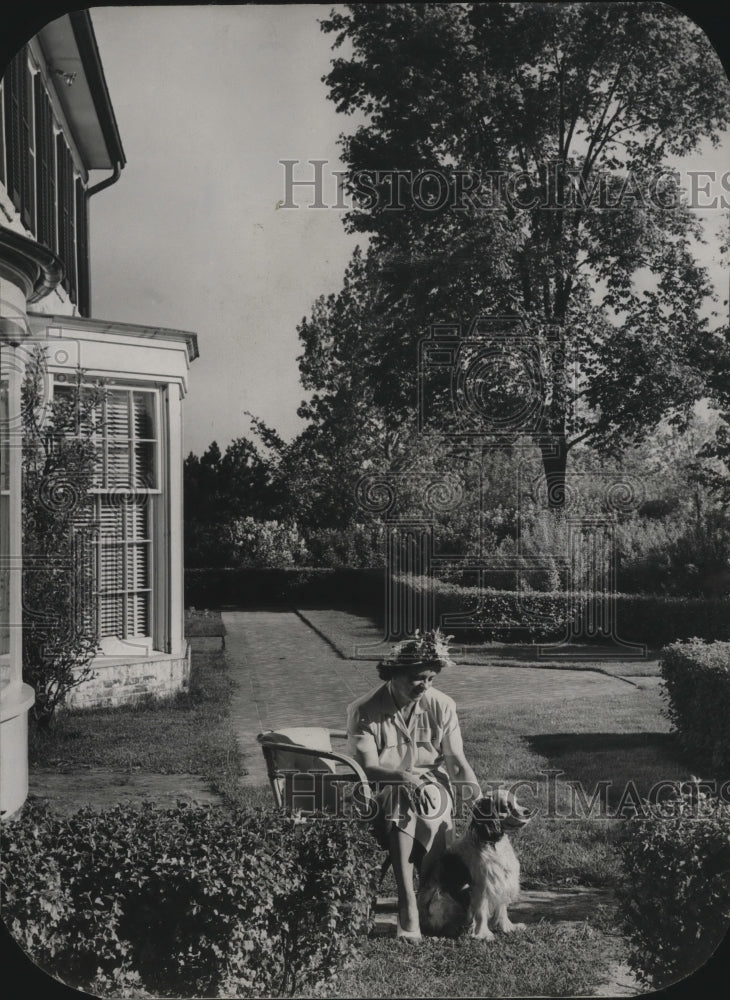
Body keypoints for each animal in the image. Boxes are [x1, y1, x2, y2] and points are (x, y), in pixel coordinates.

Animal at [418, 784, 532, 940]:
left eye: (516, 802)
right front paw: (483, 934)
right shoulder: (482, 885)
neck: (491, 842)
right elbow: (481, 911)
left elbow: (502, 908)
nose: (528, 811)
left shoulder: (501, 882)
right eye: (506, 807)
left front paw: (508, 927)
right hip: (441, 897)